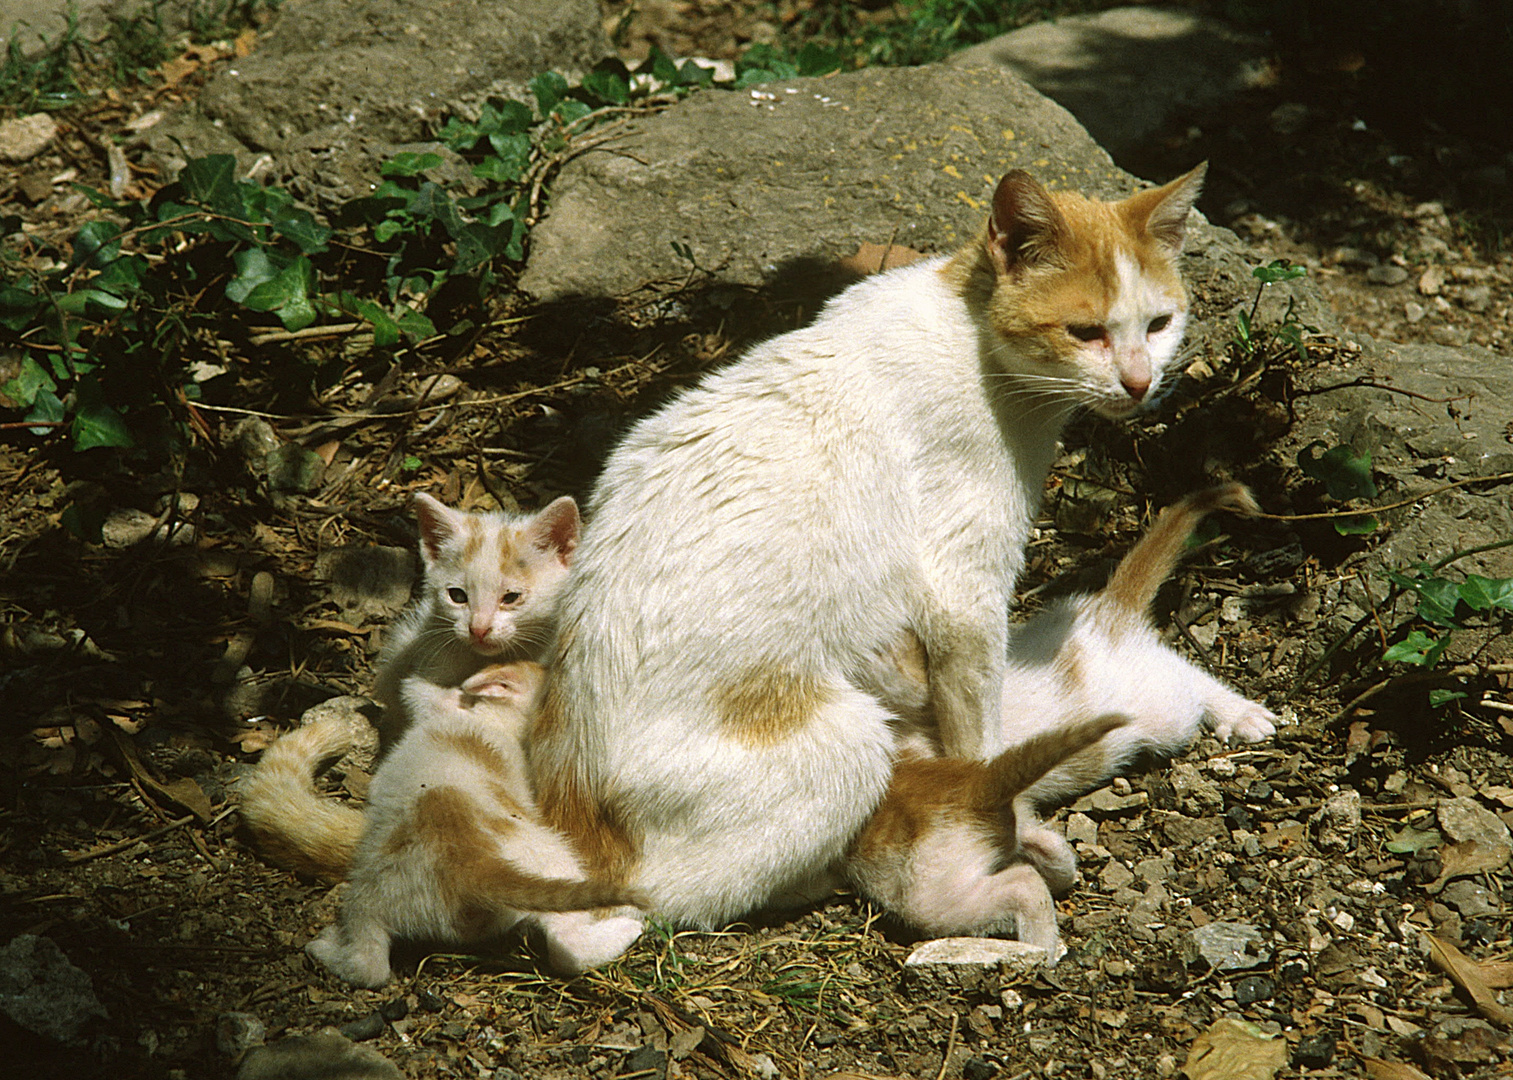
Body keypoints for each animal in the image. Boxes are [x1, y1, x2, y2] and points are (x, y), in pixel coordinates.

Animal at [301, 656, 644, 986]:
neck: (485, 719)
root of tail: (470, 869)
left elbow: (416, 689)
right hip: (556, 862)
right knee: (567, 948)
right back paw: (627, 928)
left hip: (369, 899)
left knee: (367, 964)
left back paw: (322, 947)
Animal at [526, 161, 1210, 949]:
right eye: (1086, 331)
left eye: (1158, 324)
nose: (1138, 383)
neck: (972, 334)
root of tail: (571, 795)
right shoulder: (962, 594)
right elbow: (980, 745)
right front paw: (1012, 822)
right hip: (850, 742)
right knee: (668, 898)